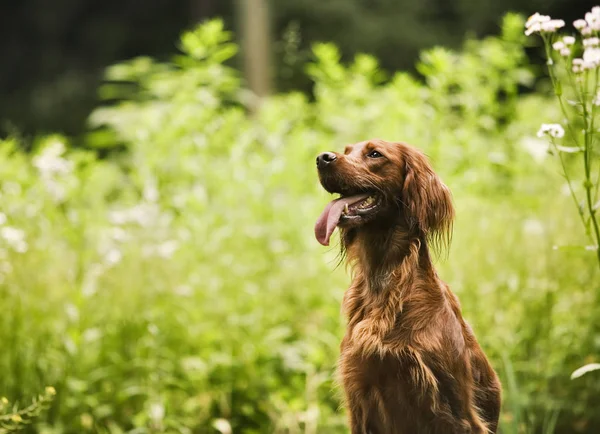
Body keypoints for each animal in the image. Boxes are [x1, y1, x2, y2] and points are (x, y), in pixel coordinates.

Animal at [314, 140, 502, 434]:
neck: (384, 282)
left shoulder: (457, 412)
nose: (322, 158)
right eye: (346, 151)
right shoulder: (359, 398)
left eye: (375, 154)